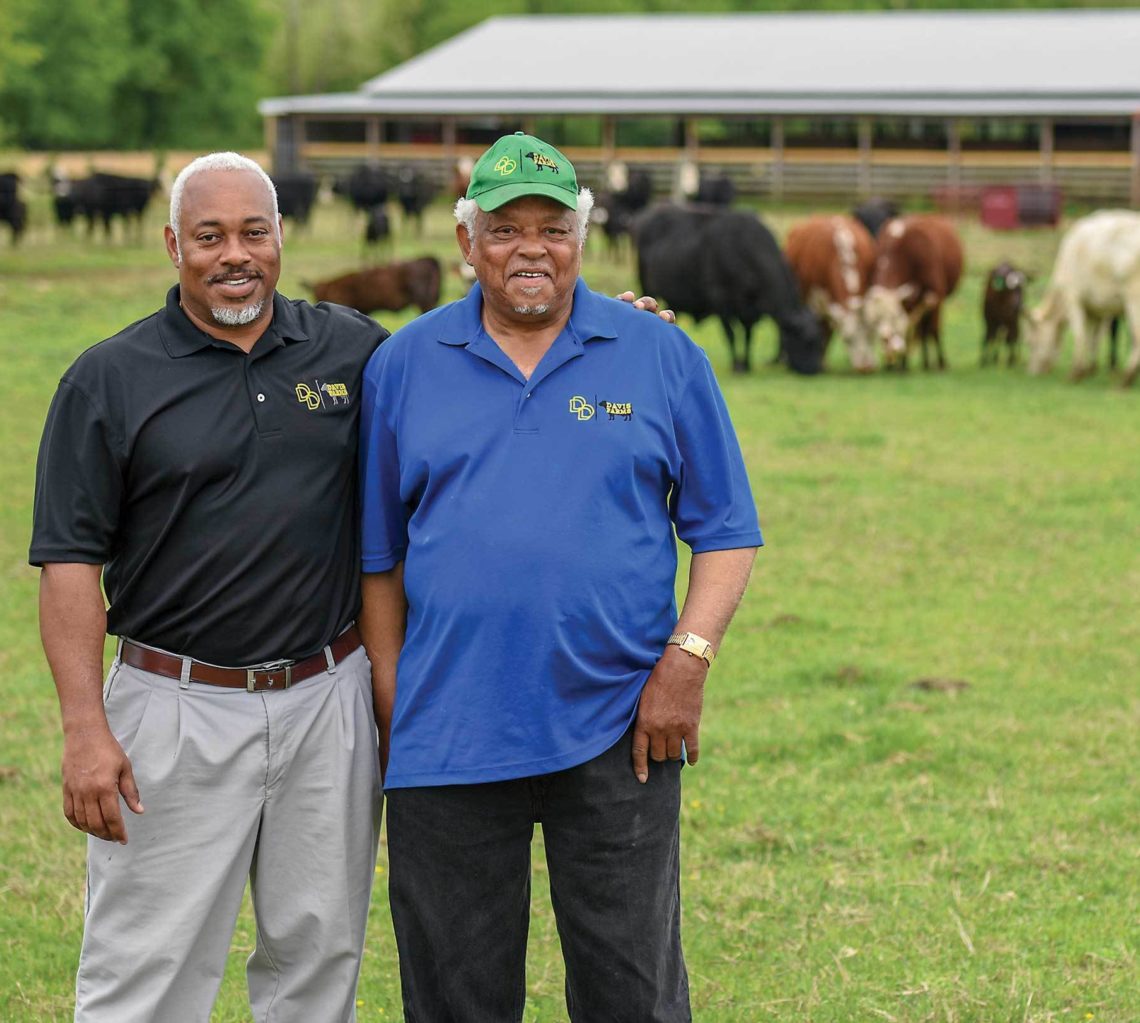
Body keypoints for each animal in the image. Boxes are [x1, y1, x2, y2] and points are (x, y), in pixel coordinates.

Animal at [638, 203, 825, 374]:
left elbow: (748, 336)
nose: (815, 369)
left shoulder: (750, 312)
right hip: (645, 282)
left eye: (819, 340)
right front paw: (736, 365)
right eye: (808, 341)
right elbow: (731, 335)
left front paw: (746, 364)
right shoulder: (721, 302)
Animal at [788, 214, 875, 371]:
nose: (865, 367)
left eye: (872, 334)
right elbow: (821, 331)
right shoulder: (815, 303)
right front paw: (820, 362)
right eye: (847, 339)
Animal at [861, 213, 962, 369]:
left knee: (927, 329)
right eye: (875, 320)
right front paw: (902, 366)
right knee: (921, 330)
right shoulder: (907, 305)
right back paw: (924, 362)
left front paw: (941, 363)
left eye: (894, 316)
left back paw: (930, 363)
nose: (886, 338)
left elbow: (933, 330)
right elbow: (907, 331)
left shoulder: (935, 296)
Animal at [1026, 209, 1140, 385]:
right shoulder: (1098, 309)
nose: (1032, 372)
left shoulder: (1073, 298)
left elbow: (1080, 334)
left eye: (1031, 343)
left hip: (1134, 300)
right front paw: (1091, 369)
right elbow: (1093, 338)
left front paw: (1076, 372)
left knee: (1137, 337)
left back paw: (1127, 378)